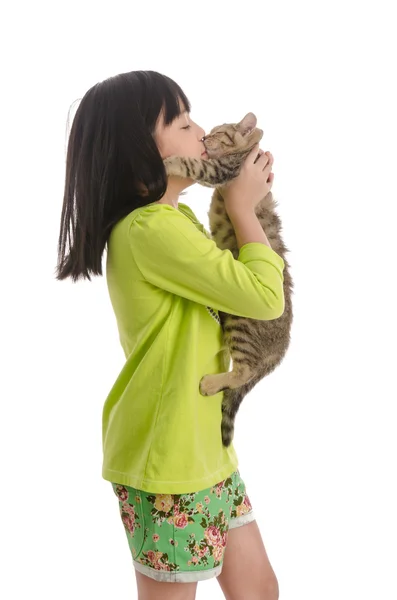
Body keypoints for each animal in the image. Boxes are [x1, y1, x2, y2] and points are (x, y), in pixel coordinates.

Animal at [162, 112, 292, 446]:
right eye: (206, 132)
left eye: (218, 133)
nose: (203, 138)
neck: (243, 153)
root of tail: (280, 349)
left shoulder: (220, 170)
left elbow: (190, 163)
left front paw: (168, 162)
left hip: (241, 325)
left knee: (244, 372)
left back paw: (210, 383)